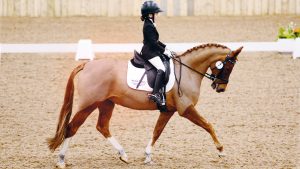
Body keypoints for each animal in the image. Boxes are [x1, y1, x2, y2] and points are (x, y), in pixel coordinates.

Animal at [47, 43, 244, 168]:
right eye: (228, 67)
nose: (221, 88)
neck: (188, 71)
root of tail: (87, 65)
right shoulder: (186, 110)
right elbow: (208, 125)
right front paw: (221, 151)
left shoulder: (168, 110)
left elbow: (157, 131)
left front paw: (148, 155)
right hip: (89, 104)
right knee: (72, 128)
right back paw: (61, 160)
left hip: (106, 104)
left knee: (102, 126)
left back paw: (123, 155)